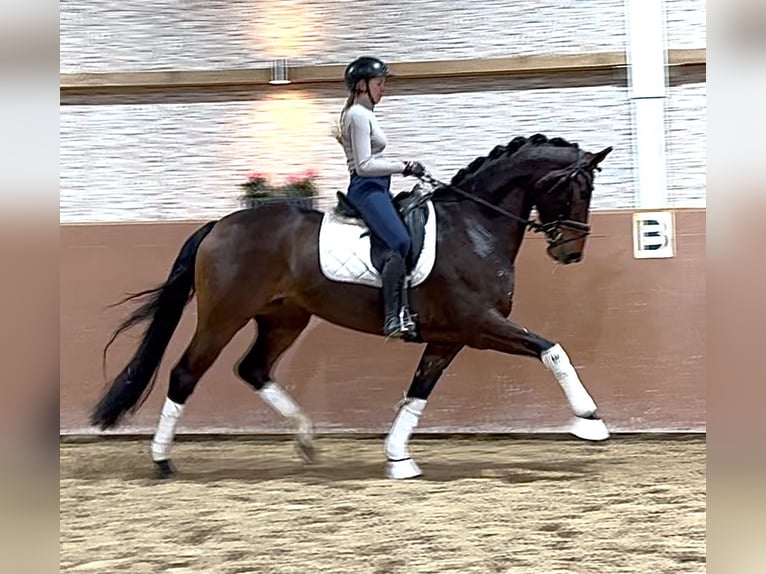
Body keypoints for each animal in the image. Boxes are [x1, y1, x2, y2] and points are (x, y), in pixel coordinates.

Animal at [91, 135, 612, 482]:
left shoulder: (450, 337)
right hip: (224, 316)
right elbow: (551, 349)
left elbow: (417, 395)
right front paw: (590, 421)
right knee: (186, 373)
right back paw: (162, 460)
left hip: (285, 318)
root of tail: (220, 225)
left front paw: (399, 458)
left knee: (254, 369)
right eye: (576, 190)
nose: (570, 252)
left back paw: (306, 441)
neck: (474, 227)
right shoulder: (480, 324)